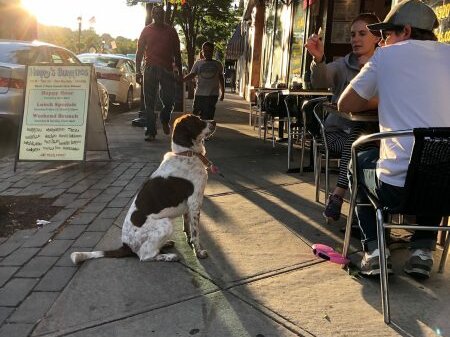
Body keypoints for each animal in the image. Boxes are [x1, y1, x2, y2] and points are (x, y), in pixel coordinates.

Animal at [70, 114, 216, 264]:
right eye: (197, 121)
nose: (214, 122)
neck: (186, 153)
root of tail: (126, 246)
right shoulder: (195, 203)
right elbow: (195, 233)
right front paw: (198, 252)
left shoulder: (189, 206)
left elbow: (187, 228)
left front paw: (189, 242)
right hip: (166, 224)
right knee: (145, 256)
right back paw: (169, 256)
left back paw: (166, 244)